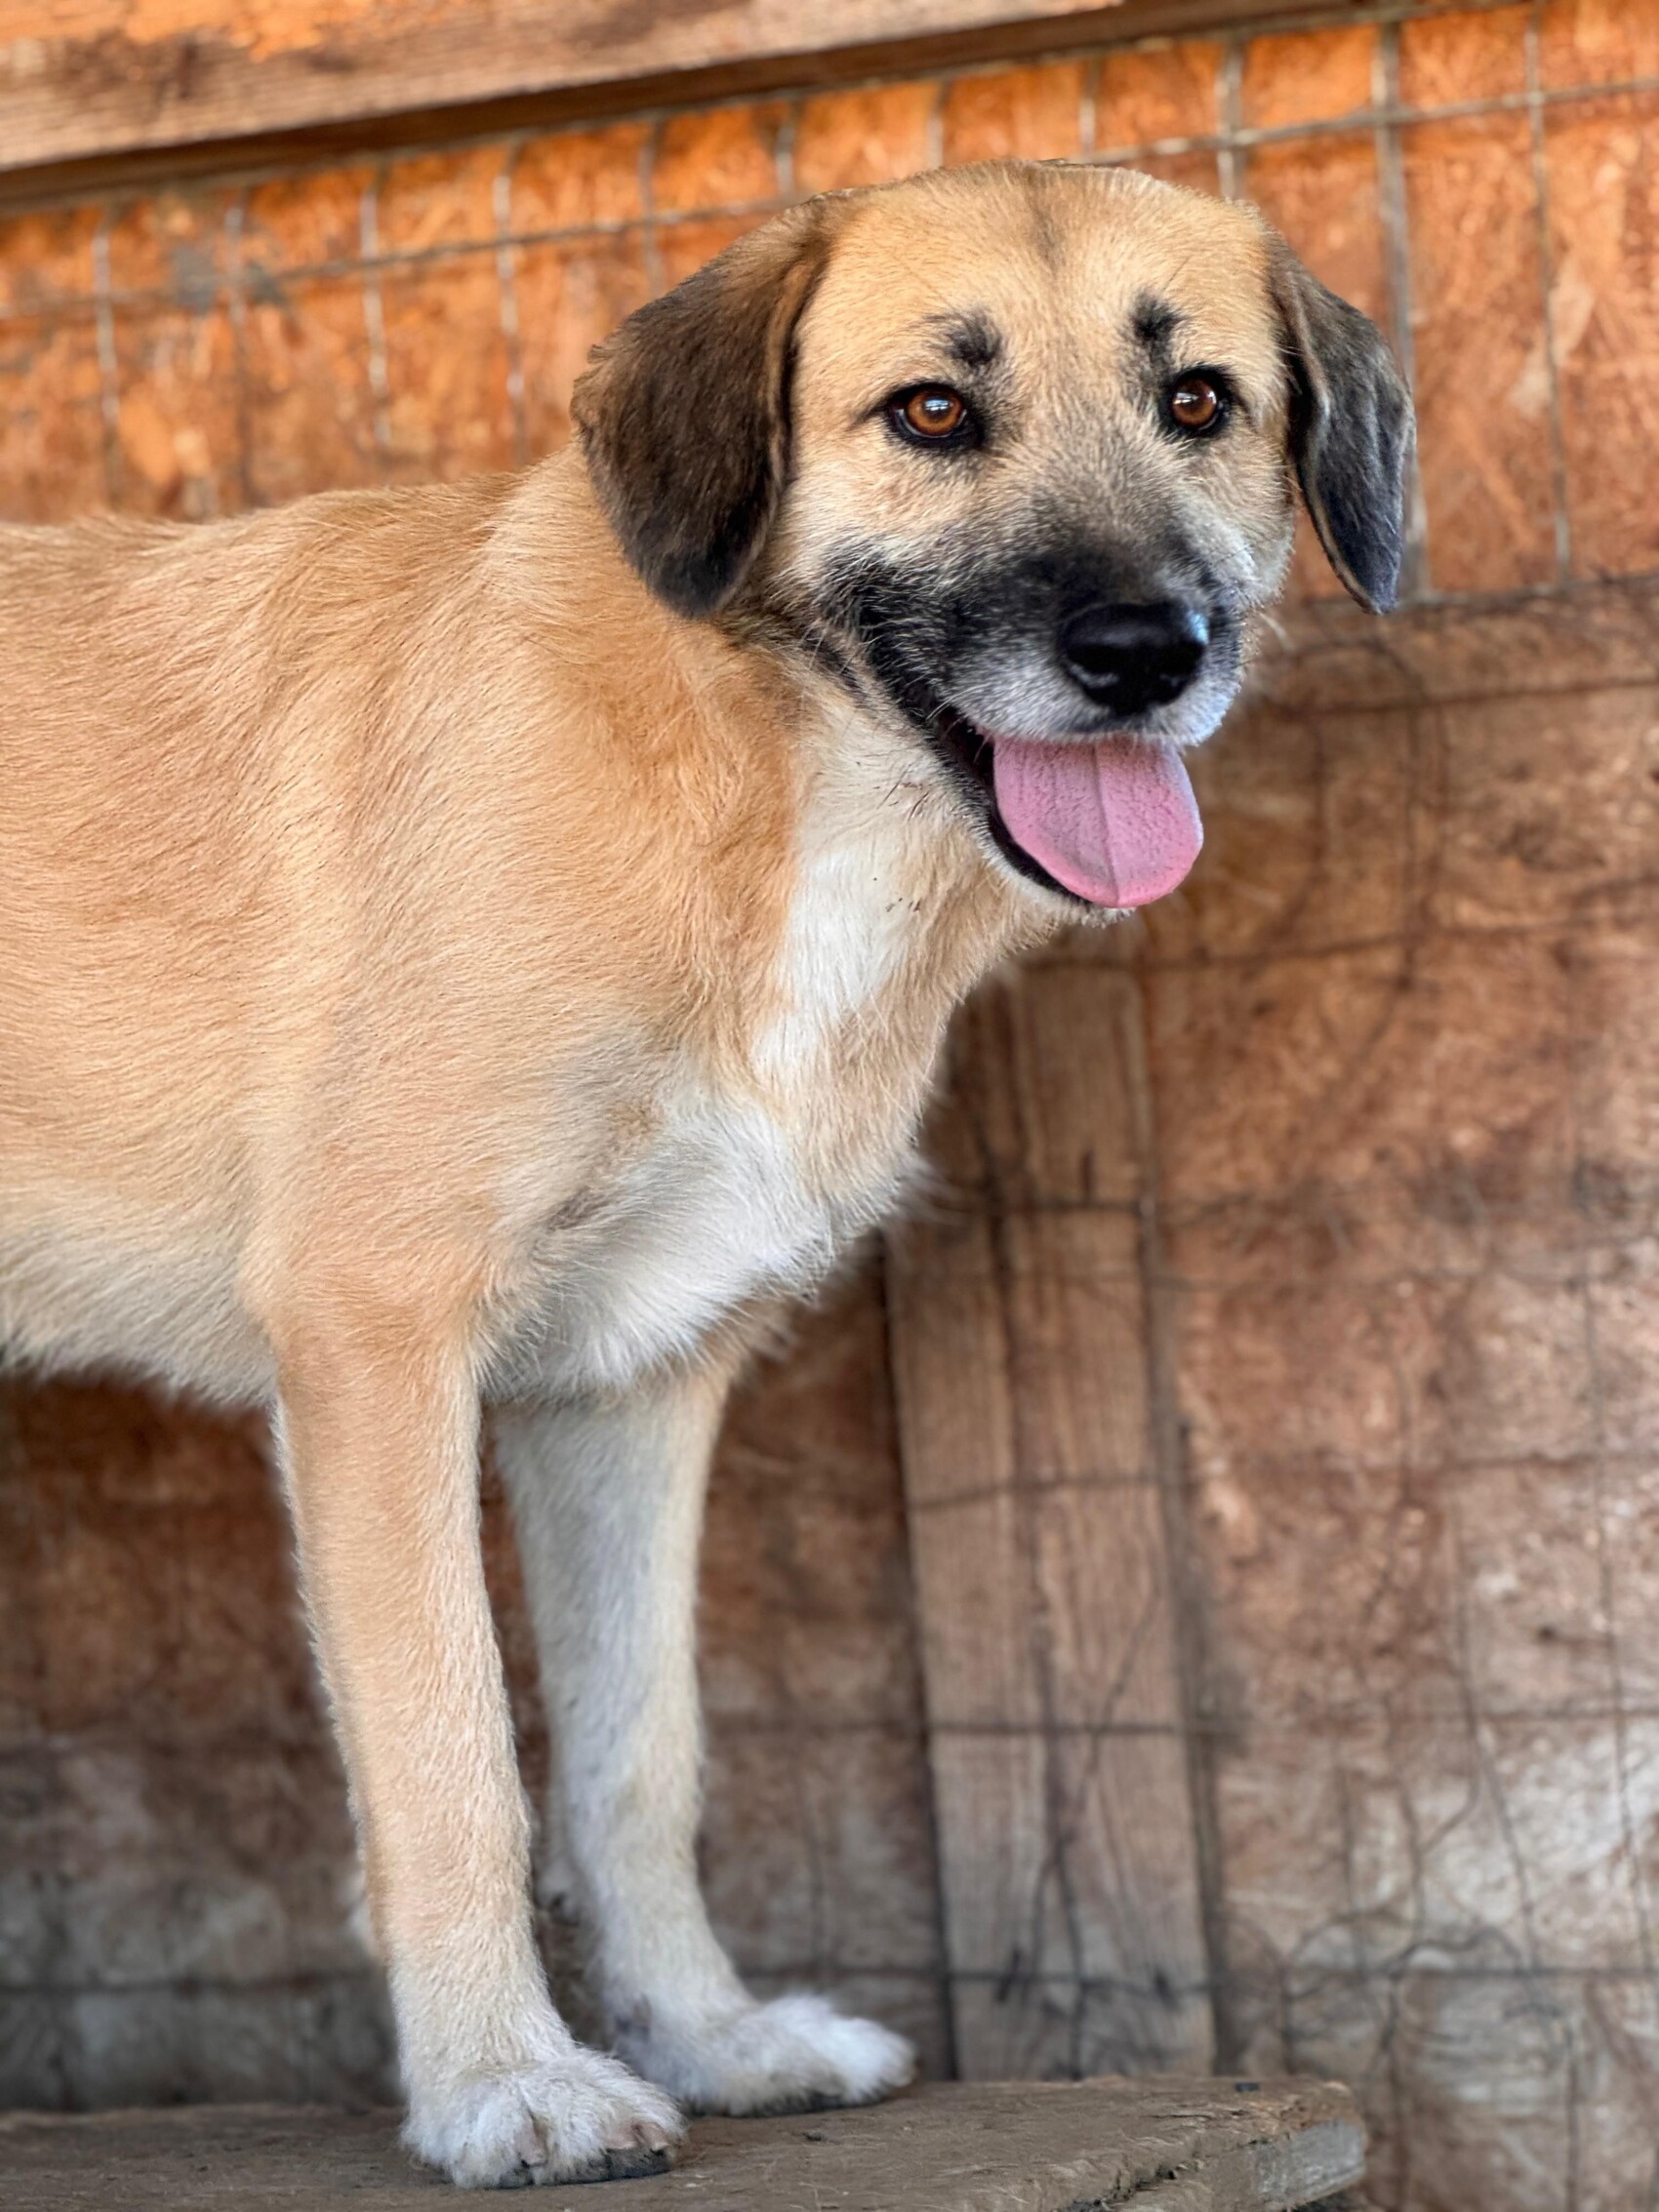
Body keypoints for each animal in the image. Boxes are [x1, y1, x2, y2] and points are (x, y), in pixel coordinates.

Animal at [0, 159, 1411, 2186]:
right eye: (932, 412)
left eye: (1200, 400)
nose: (1151, 654)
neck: (768, 787)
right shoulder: (374, 1331)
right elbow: (452, 1757)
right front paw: (503, 2080)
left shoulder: (628, 1381)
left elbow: (632, 1761)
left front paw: (708, 2032)